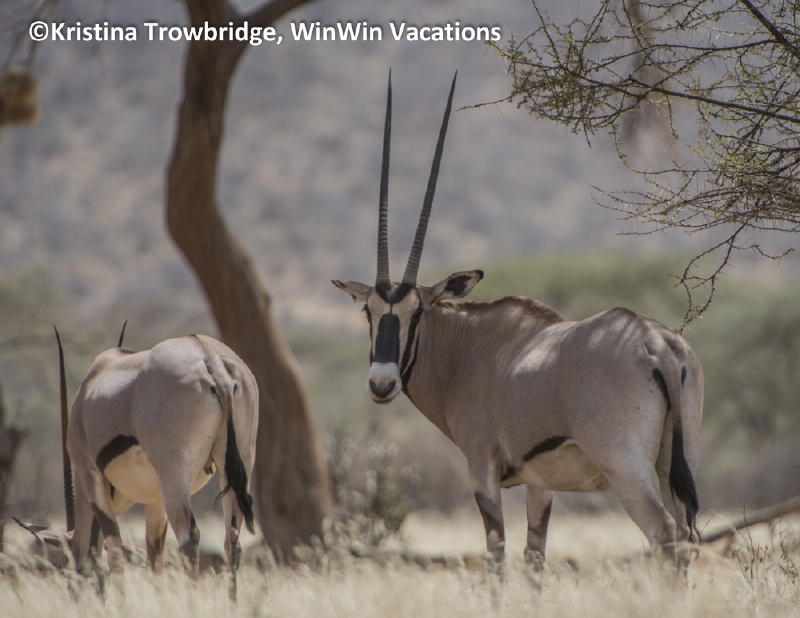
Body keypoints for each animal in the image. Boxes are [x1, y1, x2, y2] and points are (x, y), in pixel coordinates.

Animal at [56, 326, 258, 598]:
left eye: (65, 564)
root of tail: (211, 359)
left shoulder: (91, 473)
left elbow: (115, 551)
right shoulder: (155, 500)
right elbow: (155, 556)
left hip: (175, 476)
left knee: (189, 538)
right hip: (236, 467)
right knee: (232, 539)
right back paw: (231, 603)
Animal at [333, 73, 703, 576]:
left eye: (418, 312)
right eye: (368, 311)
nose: (382, 383)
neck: (467, 349)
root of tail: (658, 346)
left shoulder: (481, 466)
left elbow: (496, 556)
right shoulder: (538, 482)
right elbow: (533, 559)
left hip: (626, 468)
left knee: (665, 534)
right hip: (675, 460)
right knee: (683, 532)